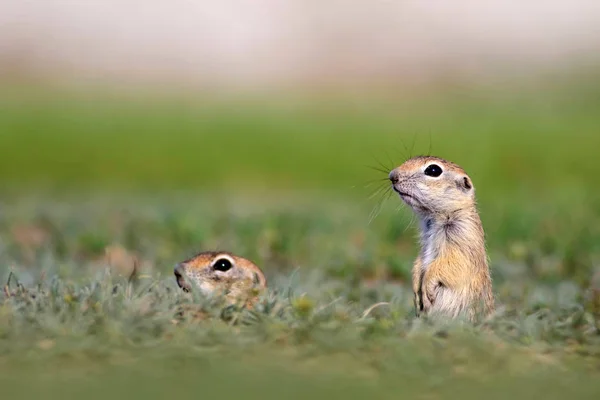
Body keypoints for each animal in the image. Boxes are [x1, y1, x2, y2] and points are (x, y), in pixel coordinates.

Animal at [390, 155, 496, 320]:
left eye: (433, 170)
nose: (392, 176)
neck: (435, 218)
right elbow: (419, 262)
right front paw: (416, 291)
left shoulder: (463, 236)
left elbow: (452, 264)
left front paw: (426, 287)